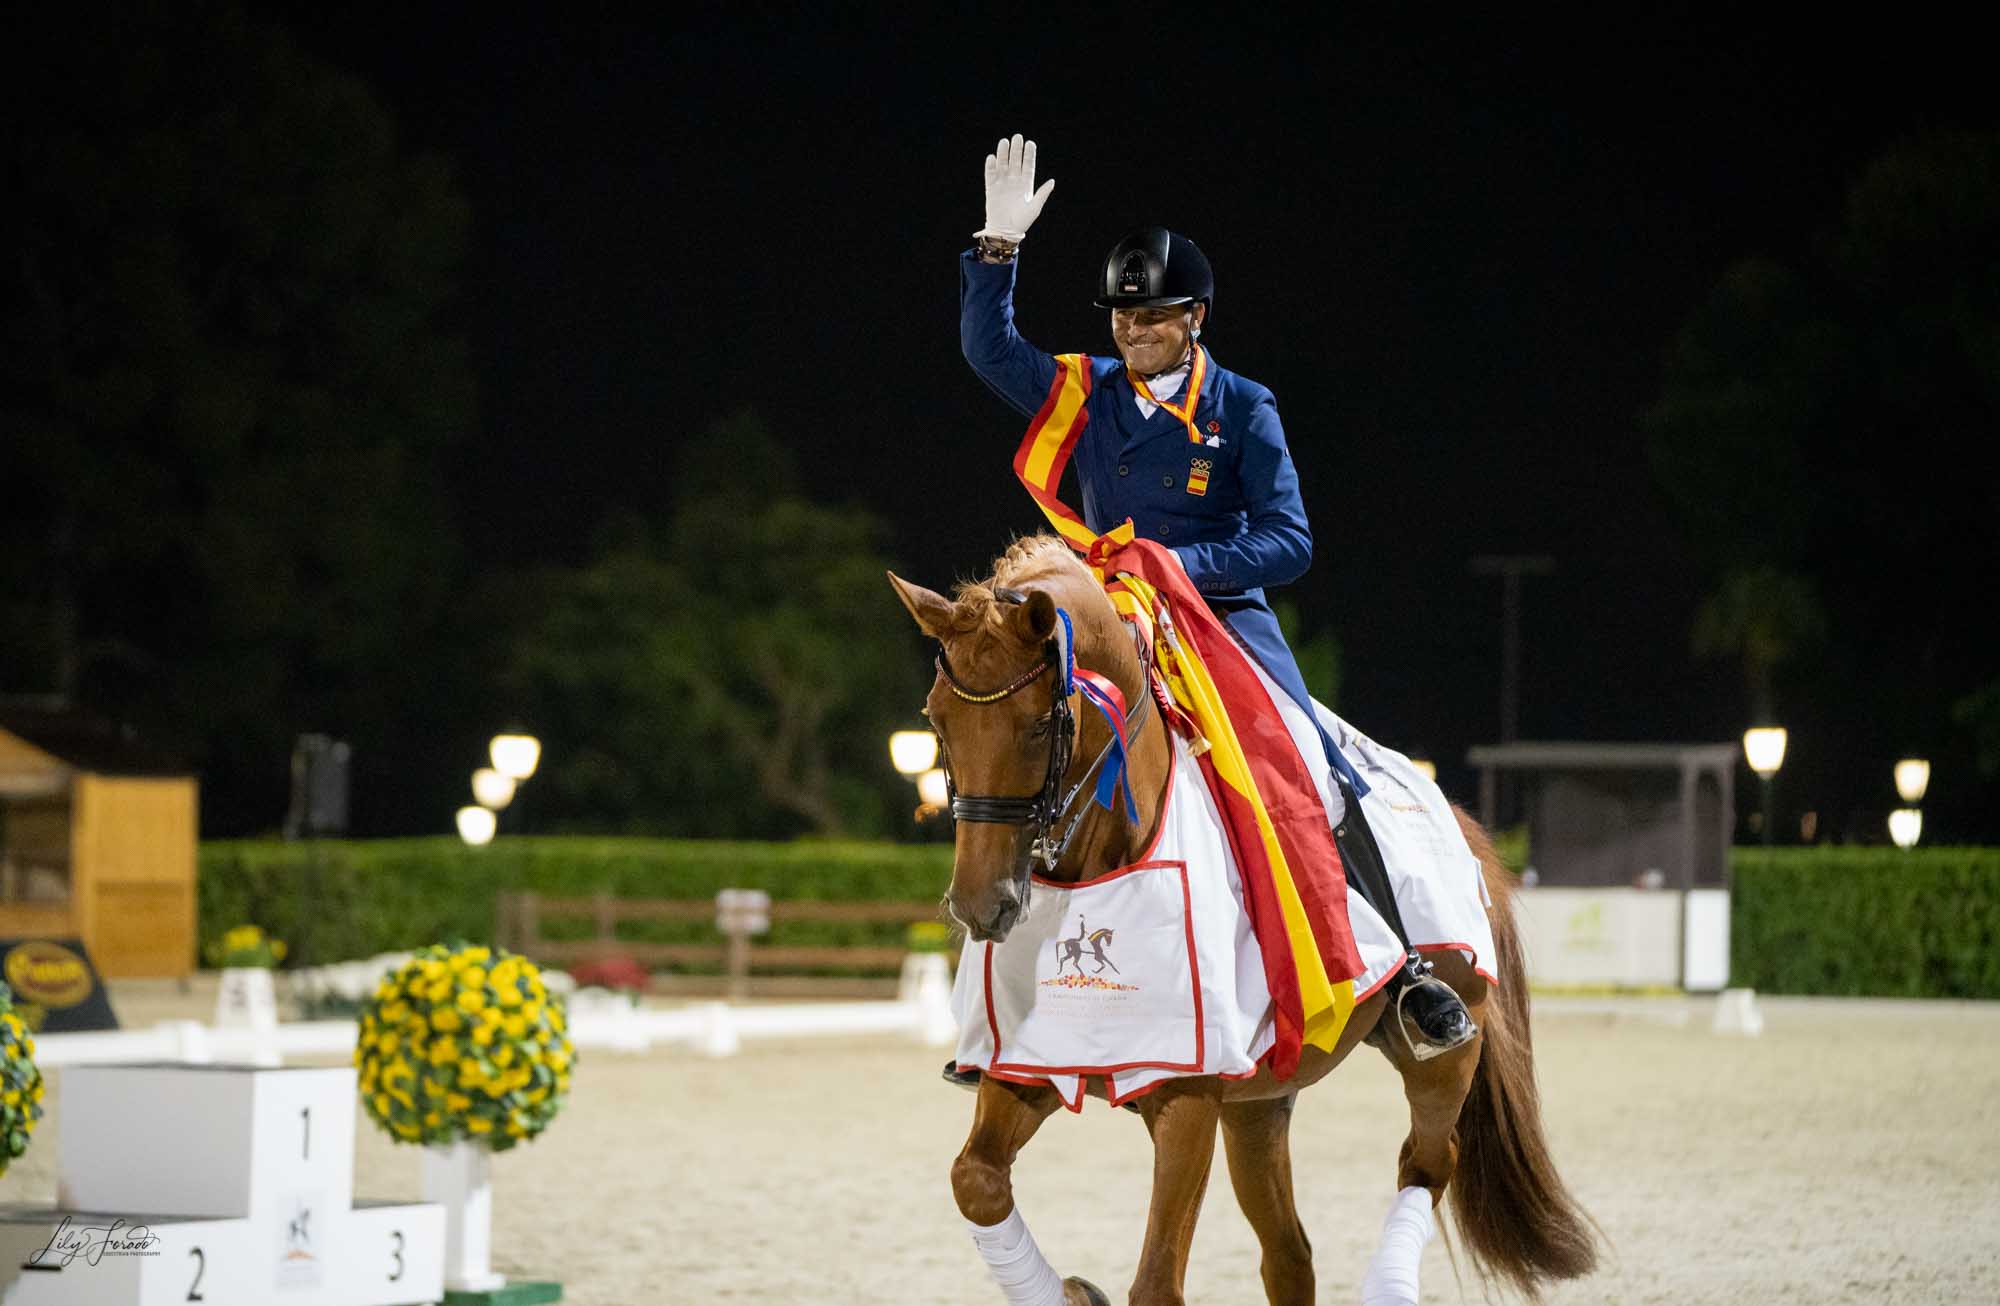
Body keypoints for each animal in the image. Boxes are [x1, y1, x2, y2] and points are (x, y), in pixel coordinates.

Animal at [892, 532, 1592, 1304]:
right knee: (1290, 1254)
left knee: (1427, 1159)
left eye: (1042, 721)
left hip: (1444, 1048)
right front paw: (1074, 1293)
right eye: (935, 720)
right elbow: (977, 1182)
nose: (980, 905)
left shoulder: (1189, 1097)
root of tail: (1465, 828)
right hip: (1260, 1104)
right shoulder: (1031, 1067)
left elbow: (1155, 1284)